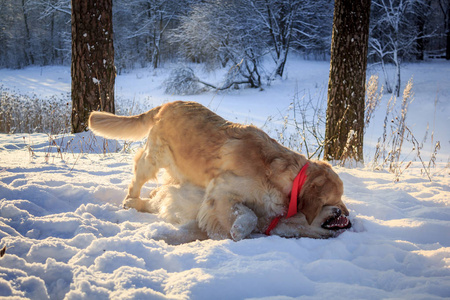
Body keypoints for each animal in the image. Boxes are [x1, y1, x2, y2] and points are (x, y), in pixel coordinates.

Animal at [89, 101, 352, 244]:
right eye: (336, 200)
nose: (349, 217)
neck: (285, 178)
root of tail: (168, 104)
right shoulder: (222, 190)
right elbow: (248, 215)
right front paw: (234, 232)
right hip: (154, 158)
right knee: (137, 176)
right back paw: (129, 200)